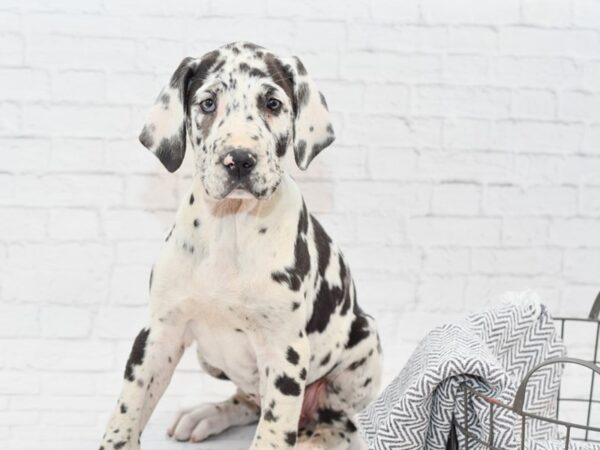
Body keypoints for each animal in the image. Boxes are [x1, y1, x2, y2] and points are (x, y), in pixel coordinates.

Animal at [97, 40, 380, 448]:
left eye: (273, 103)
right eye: (207, 103)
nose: (240, 159)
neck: (230, 226)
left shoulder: (284, 351)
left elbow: (274, 432)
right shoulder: (159, 333)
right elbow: (128, 407)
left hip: (365, 344)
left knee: (339, 420)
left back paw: (315, 437)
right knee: (249, 400)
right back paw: (206, 415)